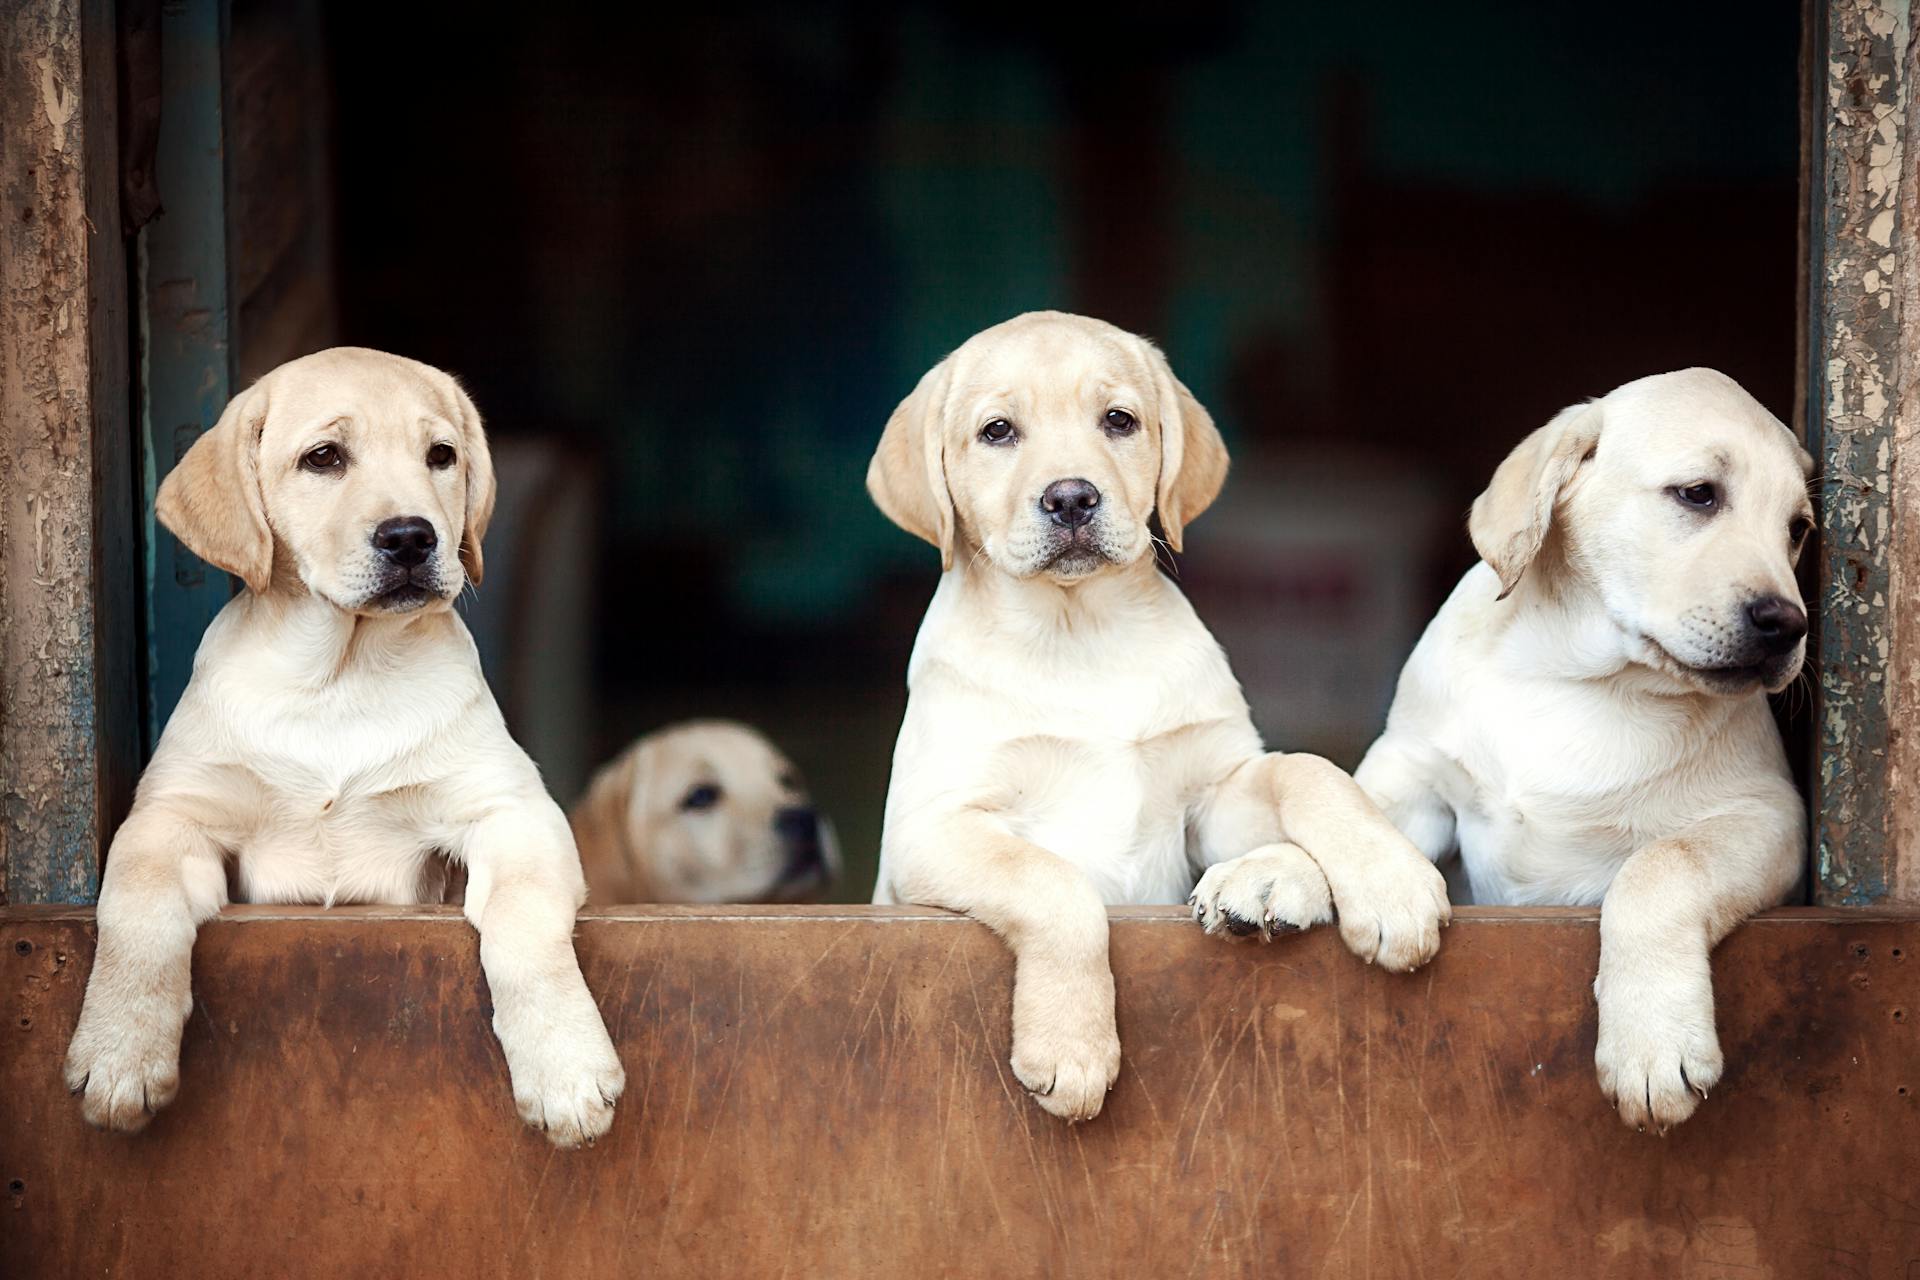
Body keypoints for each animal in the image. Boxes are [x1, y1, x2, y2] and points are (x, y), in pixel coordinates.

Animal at [63, 347, 622, 1151]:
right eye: (324, 458)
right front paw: (119, 1053)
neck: (340, 675)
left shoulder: (513, 812)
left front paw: (566, 1068)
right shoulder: (171, 816)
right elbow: (135, 907)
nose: (412, 537)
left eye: (441, 456)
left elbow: (524, 923)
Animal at [879, 310, 1443, 1120]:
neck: (1079, 633)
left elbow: (1310, 772)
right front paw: (1072, 1046)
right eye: (997, 432)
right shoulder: (928, 832)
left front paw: (1390, 879)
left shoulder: (1208, 799)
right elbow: (1051, 881)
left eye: (1118, 420)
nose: (1072, 499)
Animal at [1351, 370, 1812, 1128]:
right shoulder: (1417, 772)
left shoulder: (1766, 815)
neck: (1573, 676)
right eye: (1699, 494)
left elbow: (1661, 865)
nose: (1788, 626)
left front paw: (1652, 1043)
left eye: (1797, 529)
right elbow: (1354, 802)